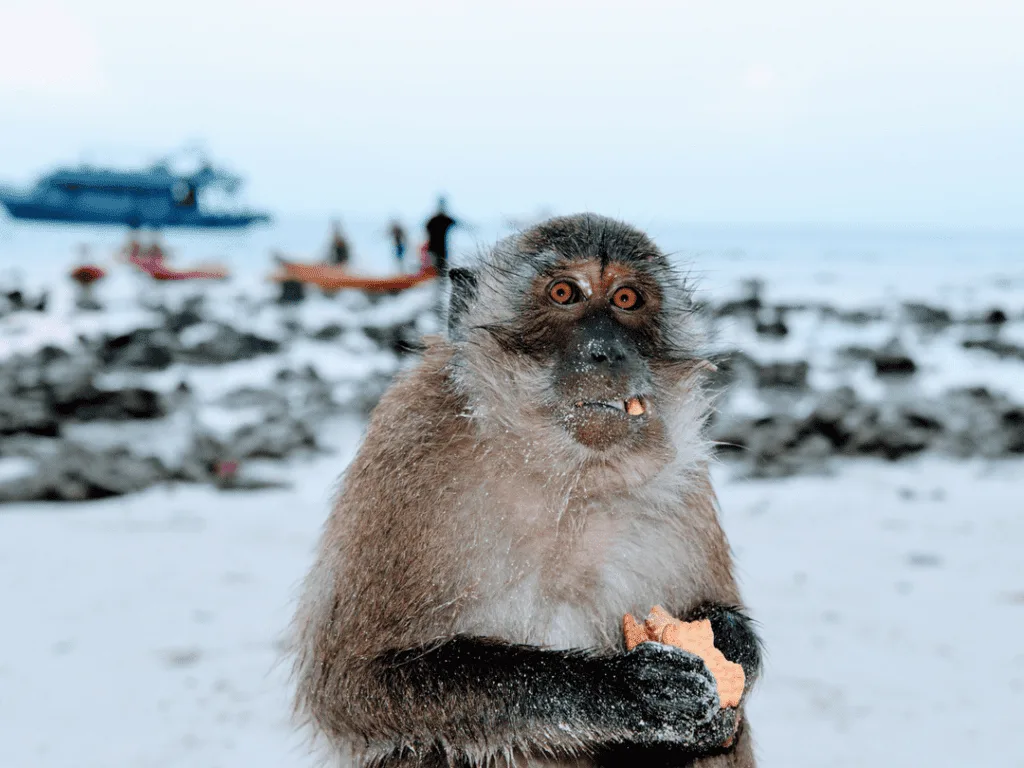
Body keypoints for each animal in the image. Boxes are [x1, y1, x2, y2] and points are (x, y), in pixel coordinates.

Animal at [294, 215, 761, 768]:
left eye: (627, 299)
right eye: (563, 293)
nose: (606, 351)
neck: (564, 475)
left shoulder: (685, 482)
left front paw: (728, 639)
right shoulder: (408, 450)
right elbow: (353, 682)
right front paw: (625, 690)